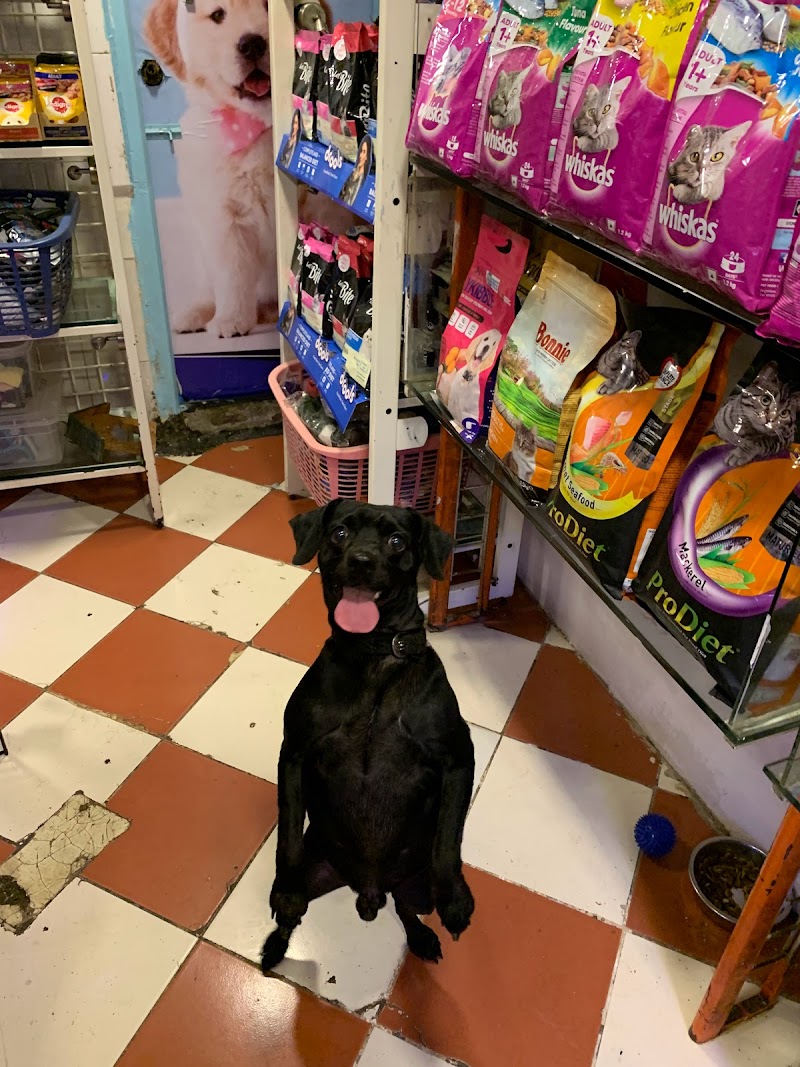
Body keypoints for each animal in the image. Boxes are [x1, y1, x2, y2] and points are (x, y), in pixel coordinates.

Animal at [261, 500, 475, 971]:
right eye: (339, 533)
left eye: (396, 541)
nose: (361, 561)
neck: (375, 655)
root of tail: (369, 891)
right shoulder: (294, 753)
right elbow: (287, 836)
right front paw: (284, 890)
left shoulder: (459, 757)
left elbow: (448, 841)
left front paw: (454, 899)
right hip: (319, 871)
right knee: (292, 918)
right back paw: (275, 946)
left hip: (414, 887)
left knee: (406, 908)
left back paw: (421, 937)